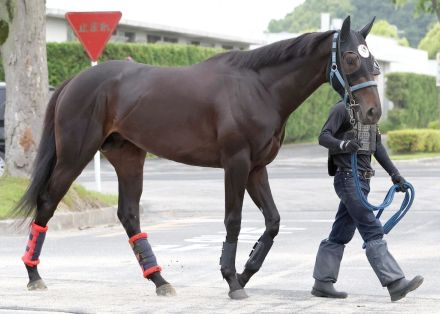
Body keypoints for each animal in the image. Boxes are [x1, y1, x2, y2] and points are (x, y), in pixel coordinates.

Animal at [16, 16, 382, 300]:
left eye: (373, 60)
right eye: (350, 58)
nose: (373, 111)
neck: (258, 88)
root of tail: (75, 80)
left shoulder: (257, 169)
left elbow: (273, 221)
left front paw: (245, 271)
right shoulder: (236, 164)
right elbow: (234, 220)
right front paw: (232, 280)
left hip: (129, 157)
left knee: (129, 214)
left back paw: (159, 280)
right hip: (74, 155)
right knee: (47, 202)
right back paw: (33, 275)